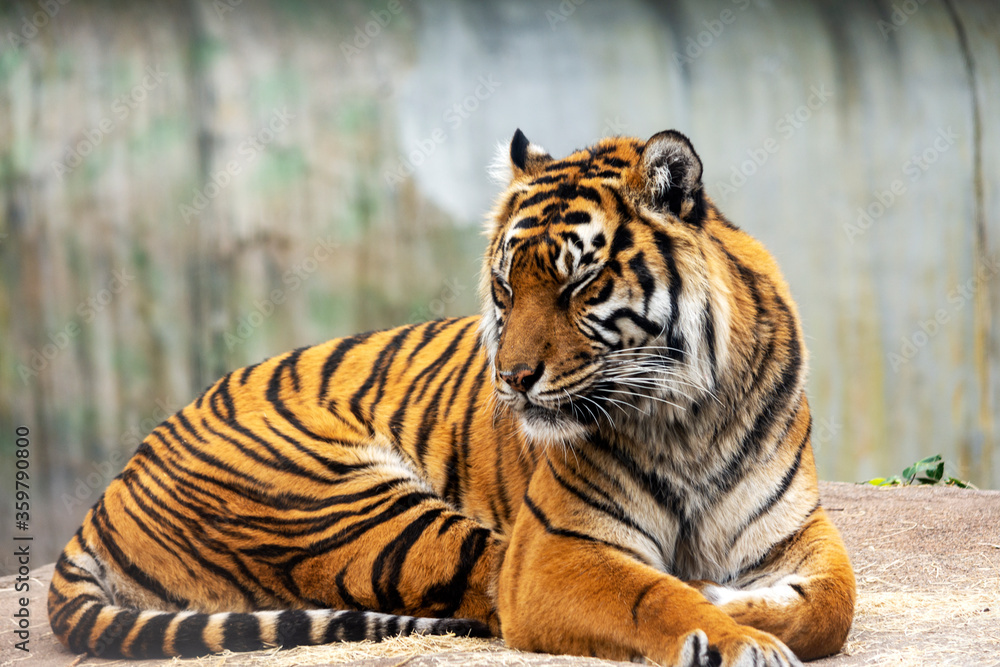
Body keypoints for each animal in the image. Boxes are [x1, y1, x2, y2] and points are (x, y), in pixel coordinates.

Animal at [48, 129, 855, 666]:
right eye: (506, 286)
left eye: (578, 284)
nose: (514, 378)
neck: (686, 418)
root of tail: (107, 495)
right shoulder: (553, 552)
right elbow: (653, 592)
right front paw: (732, 634)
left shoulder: (799, 531)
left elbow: (833, 606)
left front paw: (743, 607)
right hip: (361, 508)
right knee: (481, 589)